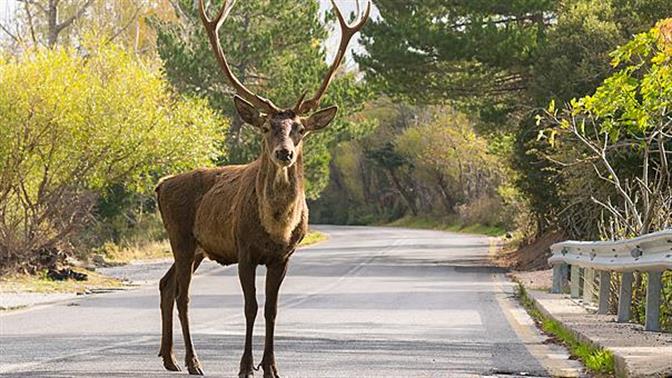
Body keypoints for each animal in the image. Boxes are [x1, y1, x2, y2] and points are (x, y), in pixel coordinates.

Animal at [154, 0, 370, 376]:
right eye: (267, 127)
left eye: (300, 128)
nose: (284, 152)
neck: (277, 228)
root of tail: (160, 185)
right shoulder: (245, 250)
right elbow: (250, 307)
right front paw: (244, 366)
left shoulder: (283, 257)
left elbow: (271, 309)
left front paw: (271, 366)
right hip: (180, 236)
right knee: (182, 294)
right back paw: (194, 361)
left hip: (198, 248)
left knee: (166, 285)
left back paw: (169, 358)